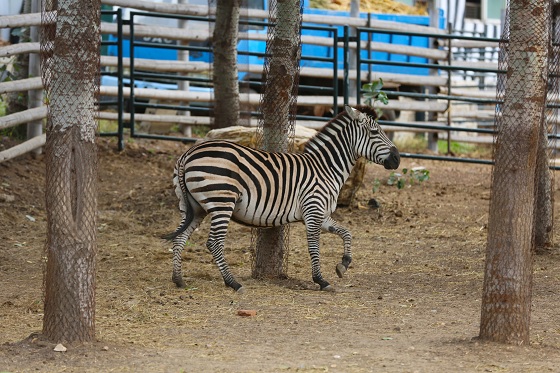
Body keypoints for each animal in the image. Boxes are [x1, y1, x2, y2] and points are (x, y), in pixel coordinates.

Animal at [162, 104, 398, 290]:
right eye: (375, 132)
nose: (397, 159)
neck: (326, 168)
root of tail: (188, 154)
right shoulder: (313, 211)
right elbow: (314, 246)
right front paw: (320, 280)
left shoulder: (321, 214)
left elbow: (346, 232)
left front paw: (344, 264)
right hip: (222, 202)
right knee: (214, 243)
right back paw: (233, 283)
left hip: (194, 207)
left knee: (180, 238)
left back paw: (178, 279)